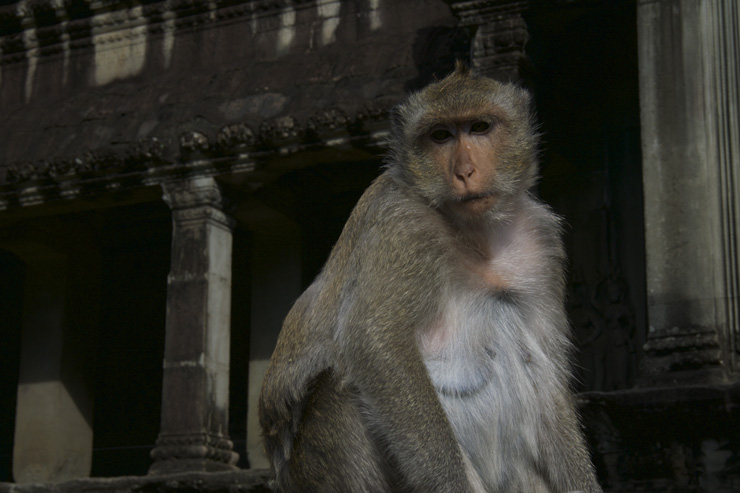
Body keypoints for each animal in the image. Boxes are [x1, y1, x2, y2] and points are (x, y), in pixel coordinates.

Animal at [258, 63, 600, 490]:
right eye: (440, 135)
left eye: (480, 127)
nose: (465, 171)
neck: (474, 233)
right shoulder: (404, 227)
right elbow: (376, 341)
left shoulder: (541, 242)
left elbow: (546, 370)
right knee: (336, 392)